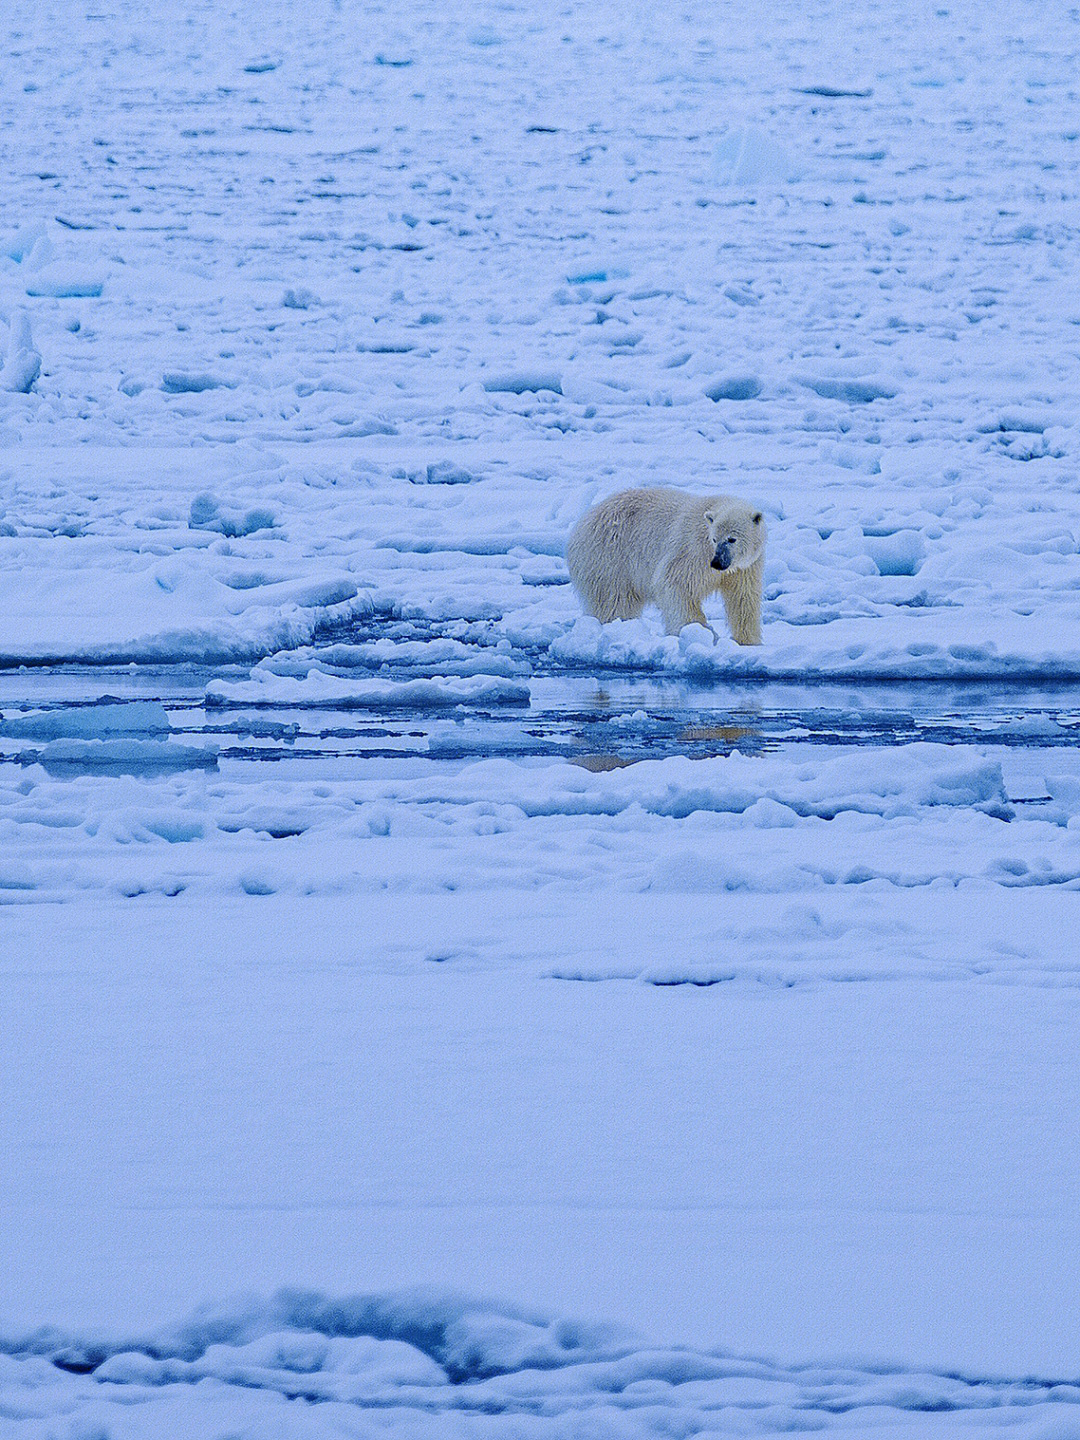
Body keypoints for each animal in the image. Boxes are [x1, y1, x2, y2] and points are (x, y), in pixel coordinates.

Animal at [567, 489, 771, 648]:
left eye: (731, 539)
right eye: (714, 539)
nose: (717, 563)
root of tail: (582, 521)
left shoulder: (746, 567)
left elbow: (743, 597)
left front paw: (749, 641)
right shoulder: (692, 550)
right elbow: (676, 584)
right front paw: (703, 633)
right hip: (609, 557)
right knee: (614, 600)